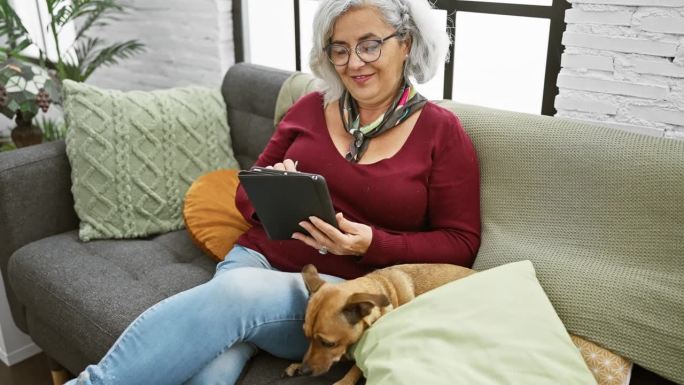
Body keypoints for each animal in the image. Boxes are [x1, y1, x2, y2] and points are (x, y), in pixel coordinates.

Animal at [284, 262, 476, 382]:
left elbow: (357, 367)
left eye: (328, 343)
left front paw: (344, 381)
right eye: (307, 337)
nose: (305, 371)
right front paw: (297, 364)